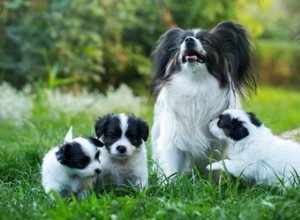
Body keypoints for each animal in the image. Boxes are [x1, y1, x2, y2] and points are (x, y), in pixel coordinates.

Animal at [151, 20, 256, 178]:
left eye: (205, 41)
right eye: (181, 41)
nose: (189, 40)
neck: (196, 84)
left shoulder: (219, 144)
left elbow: (217, 166)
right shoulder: (172, 140)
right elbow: (171, 169)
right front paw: (170, 183)